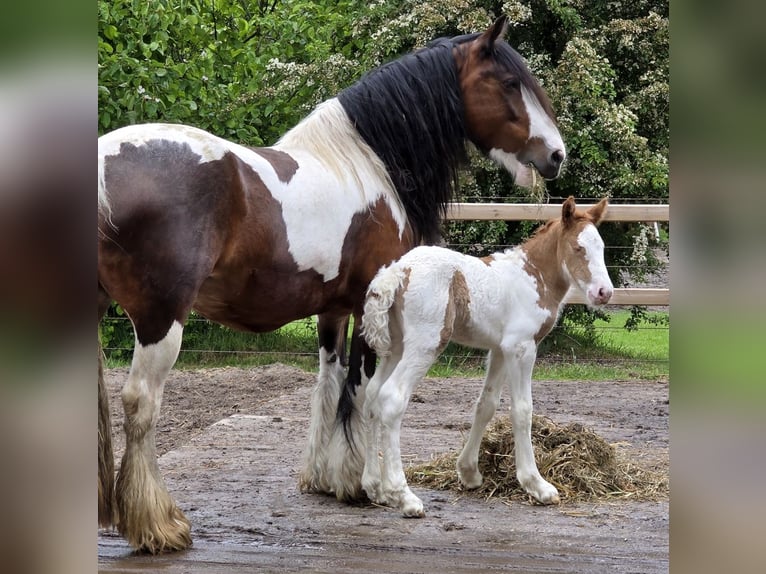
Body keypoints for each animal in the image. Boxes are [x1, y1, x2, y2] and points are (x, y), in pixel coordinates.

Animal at [97, 16, 566, 553]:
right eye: (509, 83)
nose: (557, 154)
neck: (369, 164)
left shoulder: (333, 311)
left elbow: (327, 383)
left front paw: (322, 478)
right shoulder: (368, 307)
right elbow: (360, 390)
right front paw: (360, 483)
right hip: (162, 318)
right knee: (141, 404)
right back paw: (158, 524)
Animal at [360, 197, 611, 517]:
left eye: (601, 247)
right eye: (578, 248)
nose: (604, 292)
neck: (532, 278)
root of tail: (397, 272)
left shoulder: (500, 350)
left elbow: (486, 405)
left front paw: (468, 472)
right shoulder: (521, 348)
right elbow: (522, 410)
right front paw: (537, 484)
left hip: (396, 347)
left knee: (371, 396)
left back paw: (374, 487)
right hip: (424, 344)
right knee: (392, 397)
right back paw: (403, 495)